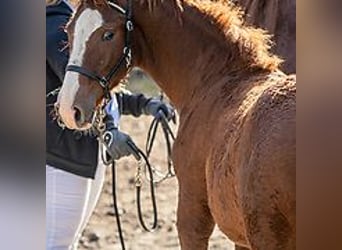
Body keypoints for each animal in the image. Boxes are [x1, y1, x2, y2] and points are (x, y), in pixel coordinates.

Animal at [57, 0, 296, 249]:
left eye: (108, 34)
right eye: (69, 30)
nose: (68, 108)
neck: (216, 80)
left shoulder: (192, 212)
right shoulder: (239, 235)